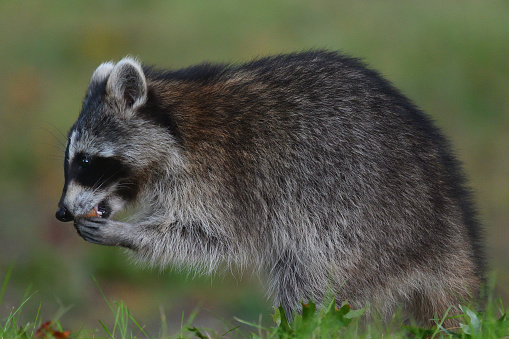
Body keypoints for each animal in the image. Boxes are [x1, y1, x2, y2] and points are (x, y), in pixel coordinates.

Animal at [55, 51, 484, 326]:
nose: (61, 212)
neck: (178, 124)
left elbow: (209, 237)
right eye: (71, 161)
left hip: (361, 222)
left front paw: (128, 233)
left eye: (86, 162)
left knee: (313, 282)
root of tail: (447, 214)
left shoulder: (223, 177)